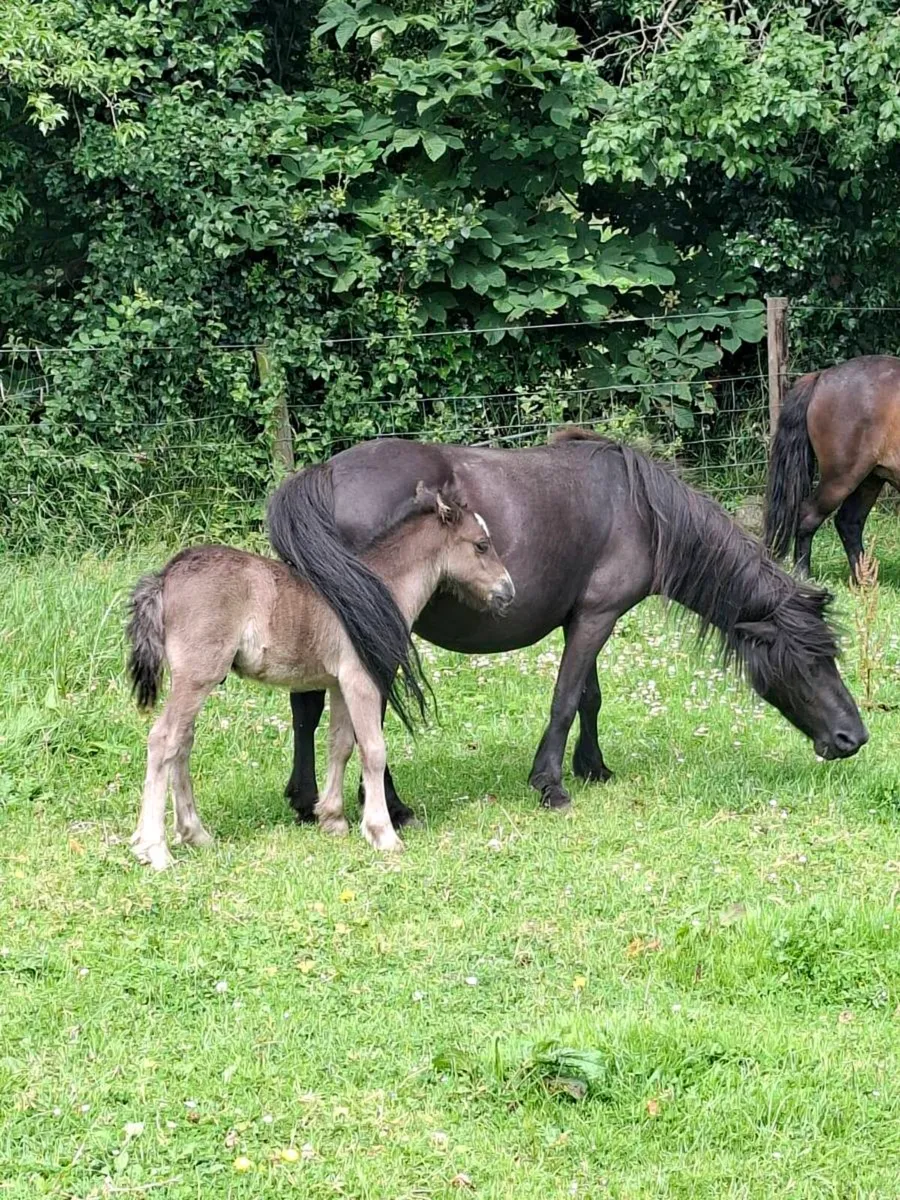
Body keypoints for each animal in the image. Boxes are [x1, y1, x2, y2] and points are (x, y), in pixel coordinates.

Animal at [126, 477, 514, 869]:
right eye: (481, 545)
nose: (508, 591)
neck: (376, 591)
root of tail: (165, 577)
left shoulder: (340, 684)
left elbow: (340, 745)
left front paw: (332, 818)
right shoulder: (362, 681)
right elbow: (373, 749)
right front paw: (382, 833)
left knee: (183, 743)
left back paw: (196, 834)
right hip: (197, 678)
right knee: (164, 740)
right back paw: (154, 847)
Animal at [267, 428, 868, 829]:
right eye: (810, 659)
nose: (853, 738)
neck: (641, 511)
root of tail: (318, 478)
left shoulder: (586, 617)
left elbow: (588, 698)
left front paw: (592, 767)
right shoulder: (597, 616)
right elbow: (565, 698)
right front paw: (551, 784)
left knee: (306, 708)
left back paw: (305, 800)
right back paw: (392, 807)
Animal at [765, 355, 900, 579]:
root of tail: (821, 376)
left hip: (869, 480)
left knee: (848, 523)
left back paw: (864, 579)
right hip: (841, 478)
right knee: (808, 515)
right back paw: (803, 574)